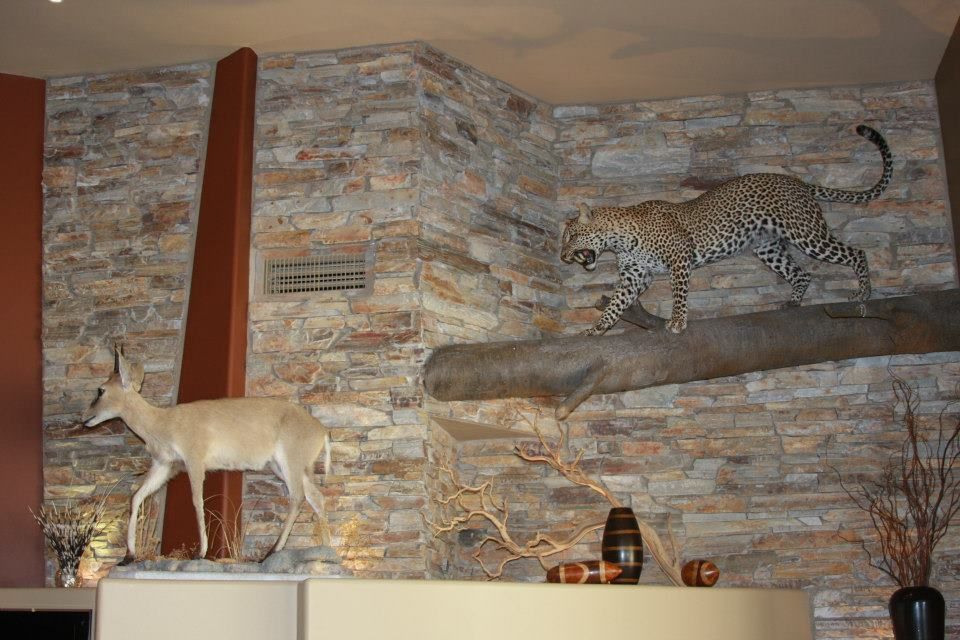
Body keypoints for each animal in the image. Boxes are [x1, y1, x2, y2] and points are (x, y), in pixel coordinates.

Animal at [81, 345, 331, 564]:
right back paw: (327, 552)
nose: (84, 418)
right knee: (316, 497)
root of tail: (322, 430)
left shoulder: (194, 462)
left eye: (101, 390)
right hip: (284, 469)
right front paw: (128, 556)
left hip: (290, 465)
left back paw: (271, 552)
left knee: (298, 498)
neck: (164, 422)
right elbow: (136, 496)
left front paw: (200, 553)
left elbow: (197, 500)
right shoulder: (165, 466)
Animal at [560, 124, 892, 335]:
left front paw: (677, 322)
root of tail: (797, 182)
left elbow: (679, 293)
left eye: (571, 237)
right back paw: (793, 302)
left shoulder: (679, 258)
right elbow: (616, 302)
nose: (563, 258)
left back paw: (863, 294)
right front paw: (598, 327)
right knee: (802, 273)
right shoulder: (634, 275)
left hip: (806, 233)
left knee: (856, 253)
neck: (621, 238)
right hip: (768, 247)